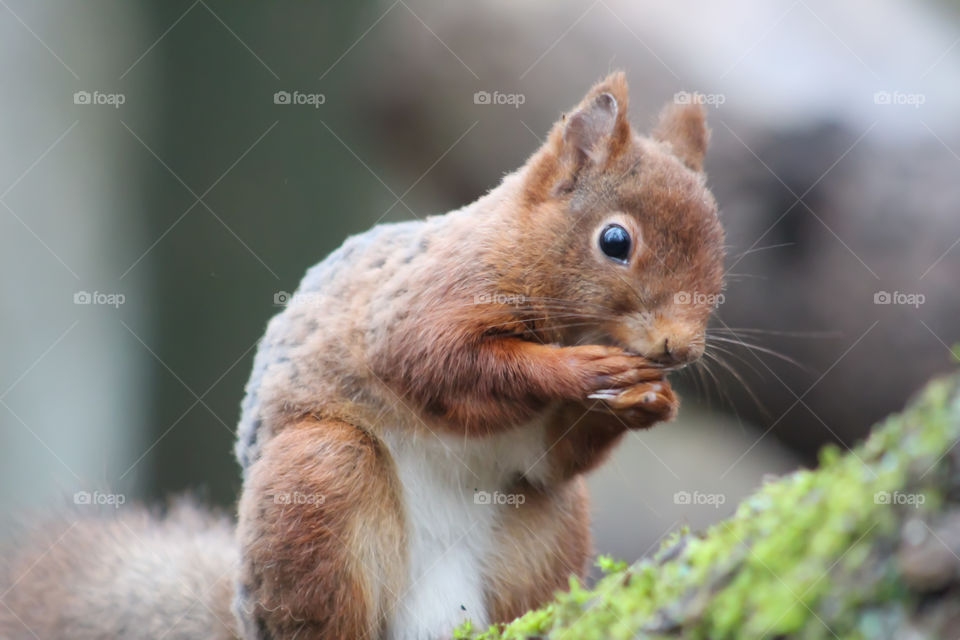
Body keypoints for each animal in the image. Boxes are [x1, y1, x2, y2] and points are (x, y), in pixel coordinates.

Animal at [0, 72, 724, 640]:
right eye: (615, 241)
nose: (678, 349)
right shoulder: (420, 306)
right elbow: (443, 364)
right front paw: (581, 371)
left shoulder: (539, 448)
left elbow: (557, 453)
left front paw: (648, 400)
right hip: (321, 479)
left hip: (547, 524)